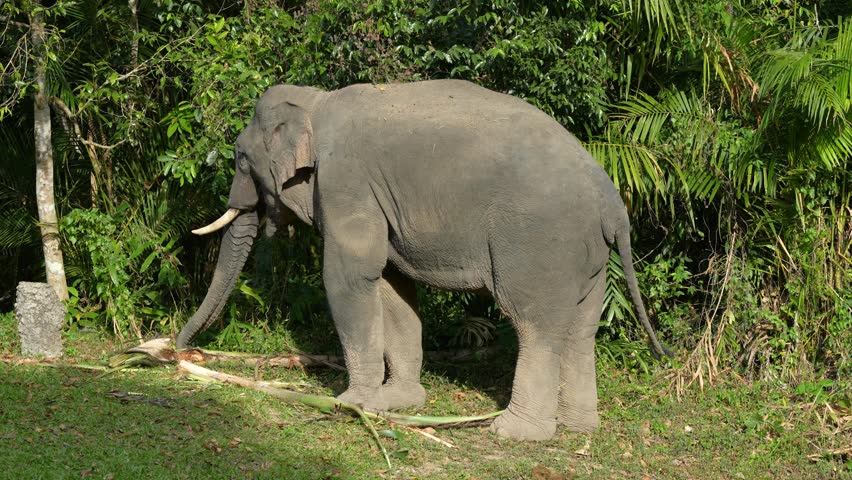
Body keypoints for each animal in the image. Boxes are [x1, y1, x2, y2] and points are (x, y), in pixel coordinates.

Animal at [177, 79, 670, 441]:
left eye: (241, 158)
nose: (181, 352)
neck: (317, 101)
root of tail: (612, 203)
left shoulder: (346, 182)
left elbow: (350, 278)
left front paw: (351, 404)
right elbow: (393, 287)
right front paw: (398, 404)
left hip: (540, 243)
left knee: (535, 325)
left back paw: (514, 433)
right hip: (589, 257)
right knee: (582, 328)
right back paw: (578, 427)